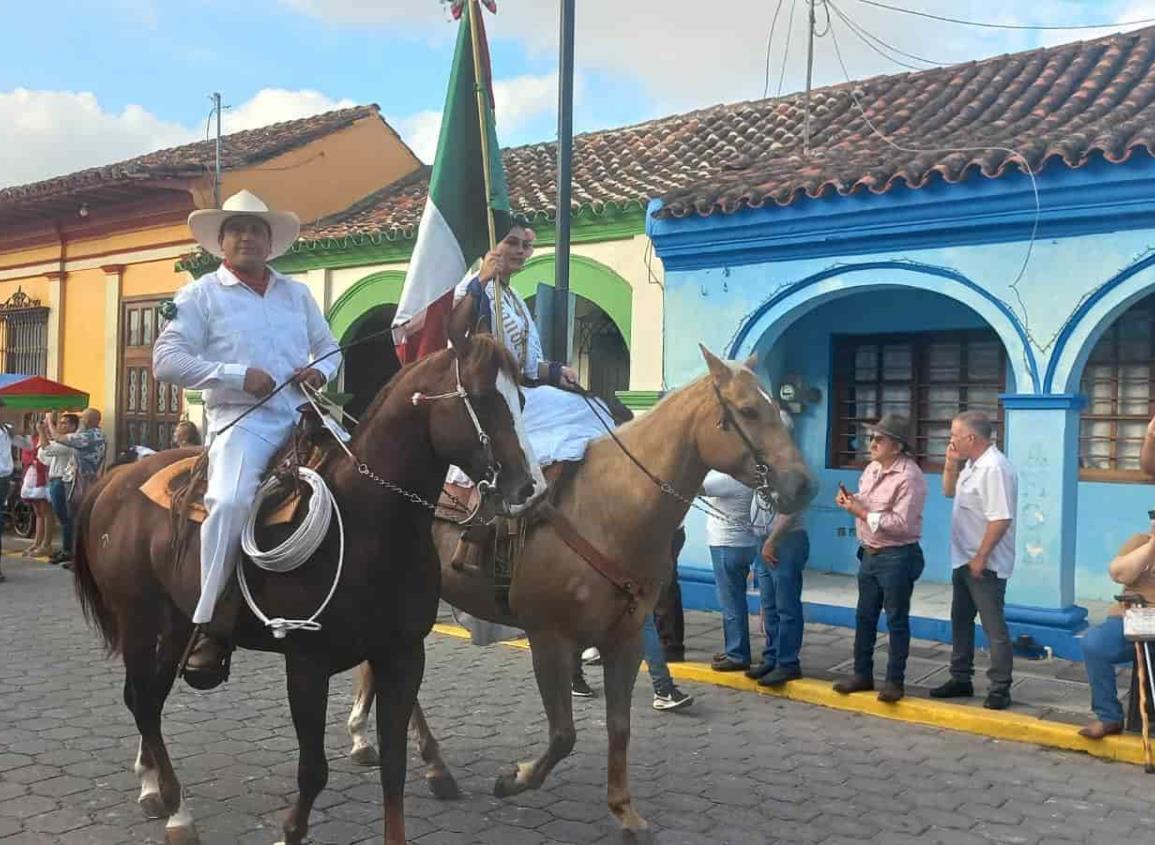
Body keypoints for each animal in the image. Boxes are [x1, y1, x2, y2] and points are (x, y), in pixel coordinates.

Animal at [69, 334, 538, 845]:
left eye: (522, 399)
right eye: (482, 397)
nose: (527, 487)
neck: (366, 521)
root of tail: (115, 479)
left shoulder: (403, 656)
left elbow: (394, 768)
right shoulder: (307, 665)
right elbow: (313, 771)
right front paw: (292, 830)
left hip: (175, 624)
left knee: (149, 698)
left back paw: (152, 784)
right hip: (137, 620)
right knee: (143, 703)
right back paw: (176, 809)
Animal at [341, 346, 813, 835]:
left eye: (775, 408)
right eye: (748, 410)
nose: (803, 485)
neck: (610, 507)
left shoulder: (625, 639)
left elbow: (619, 724)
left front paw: (624, 808)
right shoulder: (549, 637)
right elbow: (563, 734)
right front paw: (514, 779)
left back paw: (383, 745)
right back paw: (425, 762)